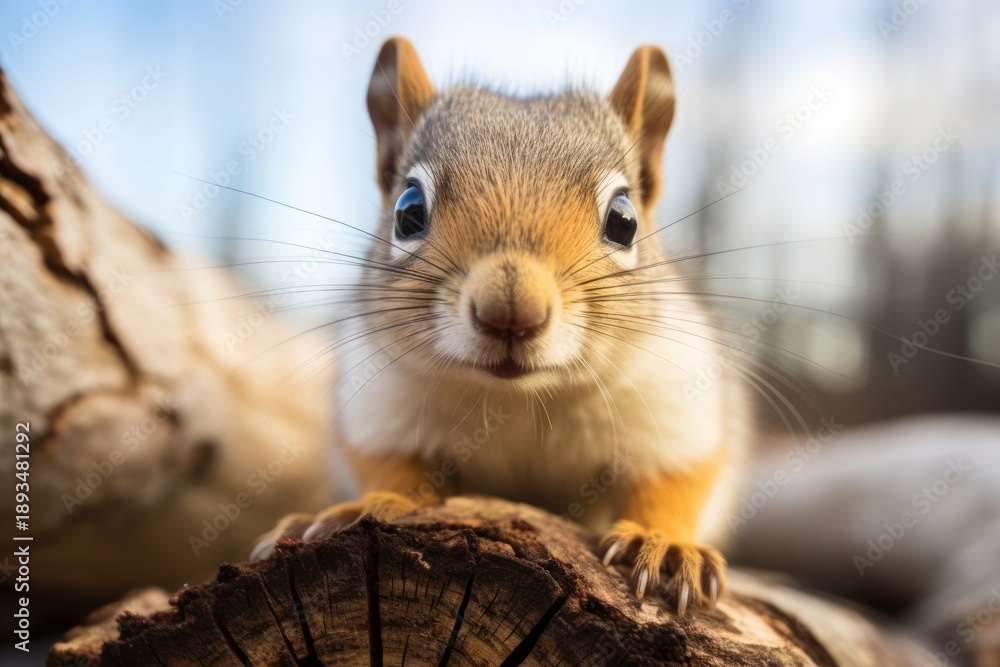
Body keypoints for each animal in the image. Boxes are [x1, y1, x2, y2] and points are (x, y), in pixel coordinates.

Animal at [251, 36, 750, 616]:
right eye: (407, 210)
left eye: (625, 220)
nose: (511, 312)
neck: (520, 401)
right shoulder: (379, 403)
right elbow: (393, 469)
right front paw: (363, 507)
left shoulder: (675, 402)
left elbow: (674, 478)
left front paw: (663, 543)